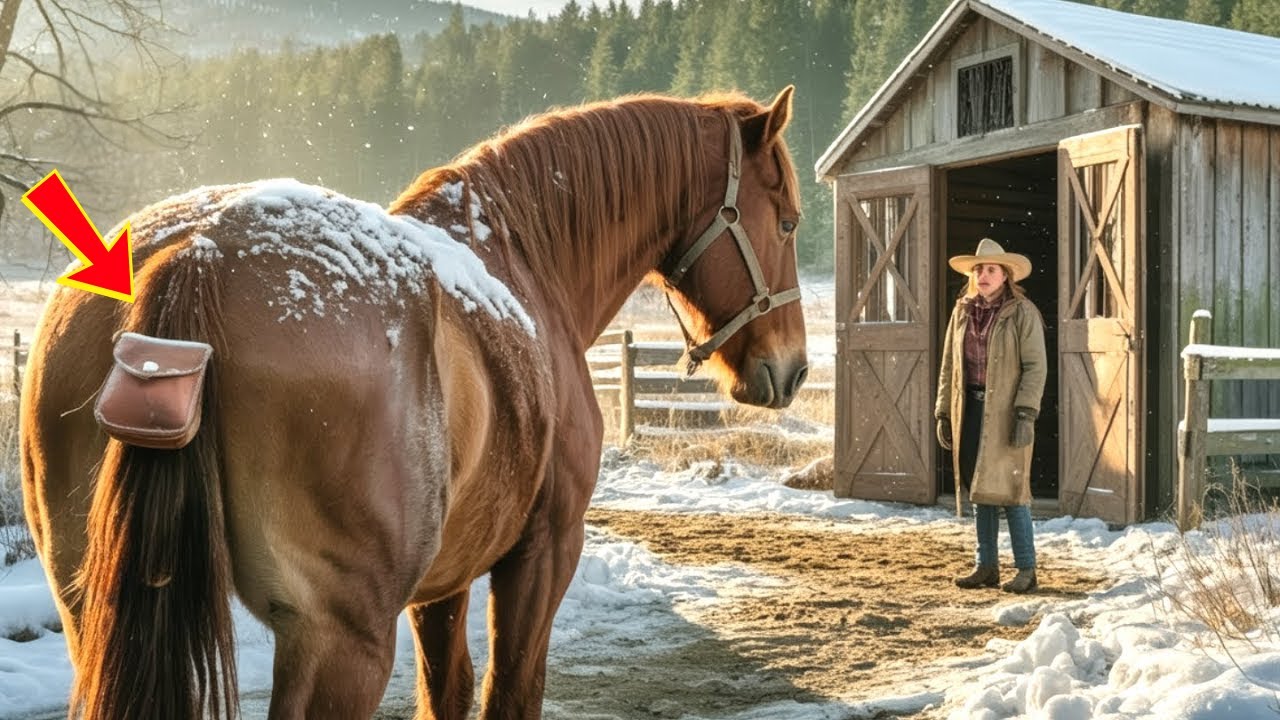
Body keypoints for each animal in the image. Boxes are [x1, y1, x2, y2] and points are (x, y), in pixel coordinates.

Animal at [21, 87, 808, 719]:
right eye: (789, 220)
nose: (793, 368)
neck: (524, 256)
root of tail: (201, 255)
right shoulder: (542, 554)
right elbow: (509, 693)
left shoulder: (443, 584)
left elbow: (447, 690)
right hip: (339, 641)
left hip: (92, 615)